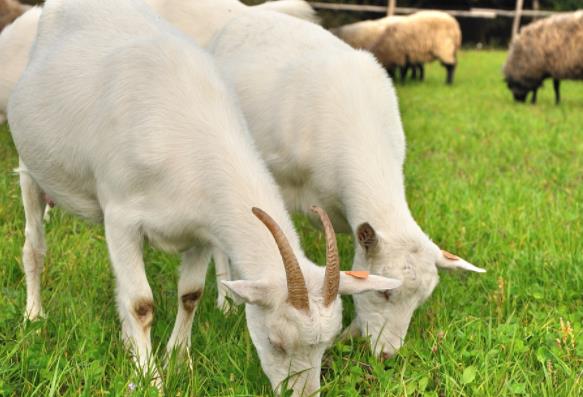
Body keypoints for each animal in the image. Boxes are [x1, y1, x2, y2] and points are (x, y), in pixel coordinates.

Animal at [8, 0, 402, 392]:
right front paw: (150, 379)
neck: (187, 140)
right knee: (34, 245)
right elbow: (140, 304)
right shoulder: (121, 217)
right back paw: (34, 313)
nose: (304, 395)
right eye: (275, 341)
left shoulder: (200, 227)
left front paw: (179, 361)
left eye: (326, 344)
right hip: (32, 167)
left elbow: (190, 295)